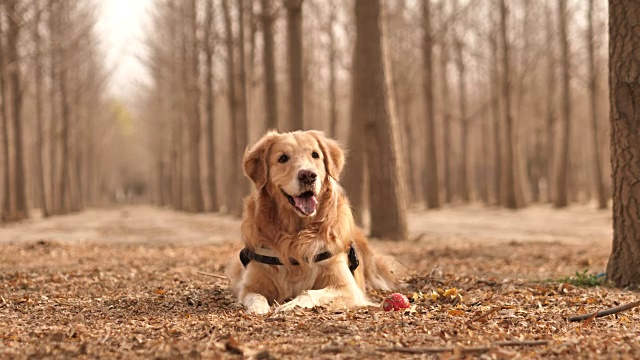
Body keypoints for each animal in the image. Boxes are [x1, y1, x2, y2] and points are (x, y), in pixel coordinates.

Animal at [226, 131, 400, 314]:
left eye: (315, 155)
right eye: (283, 158)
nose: (308, 175)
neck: (296, 234)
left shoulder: (348, 287)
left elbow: (309, 292)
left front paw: (290, 305)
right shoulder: (250, 285)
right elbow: (255, 296)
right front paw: (258, 308)